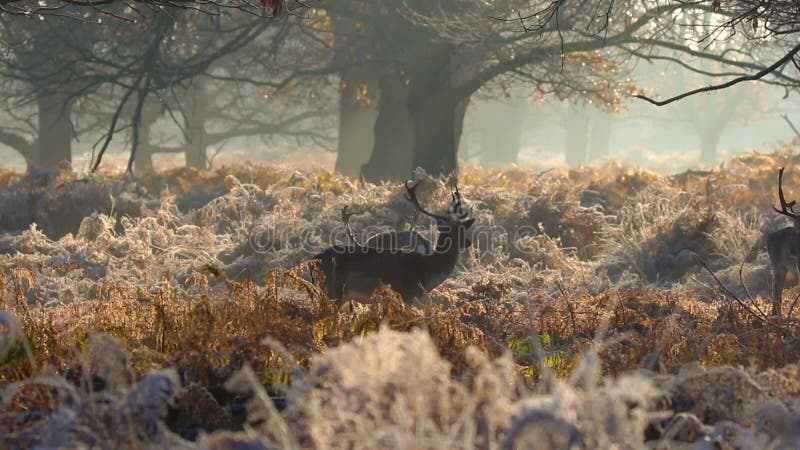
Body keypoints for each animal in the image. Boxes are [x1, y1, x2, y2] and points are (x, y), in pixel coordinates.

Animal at [312, 181, 476, 304]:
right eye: (452, 231)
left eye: (463, 228)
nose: (468, 242)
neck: (428, 271)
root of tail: (314, 259)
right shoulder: (406, 293)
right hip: (332, 290)